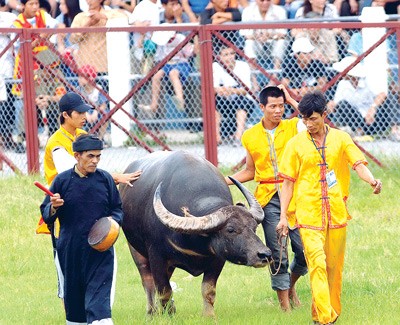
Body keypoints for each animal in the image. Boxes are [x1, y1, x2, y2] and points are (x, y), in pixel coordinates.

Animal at [119, 151, 272, 316]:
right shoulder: (157, 256)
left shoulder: (218, 259)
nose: (265, 255)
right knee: (148, 282)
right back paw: (151, 312)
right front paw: (169, 315)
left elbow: (208, 290)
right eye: (230, 230)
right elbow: (164, 291)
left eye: (254, 227)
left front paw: (209, 316)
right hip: (135, 250)